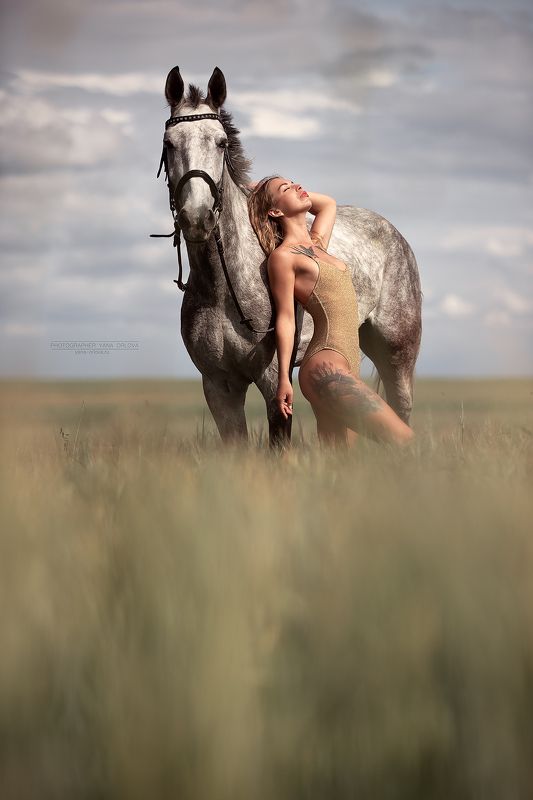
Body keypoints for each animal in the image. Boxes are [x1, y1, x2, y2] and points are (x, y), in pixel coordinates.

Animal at [153, 65, 422, 447]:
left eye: (221, 143)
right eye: (169, 144)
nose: (197, 218)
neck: (223, 288)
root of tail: (393, 232)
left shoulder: (271, 380)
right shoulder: (218, 385)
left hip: (397, 353)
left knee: (400, 409)